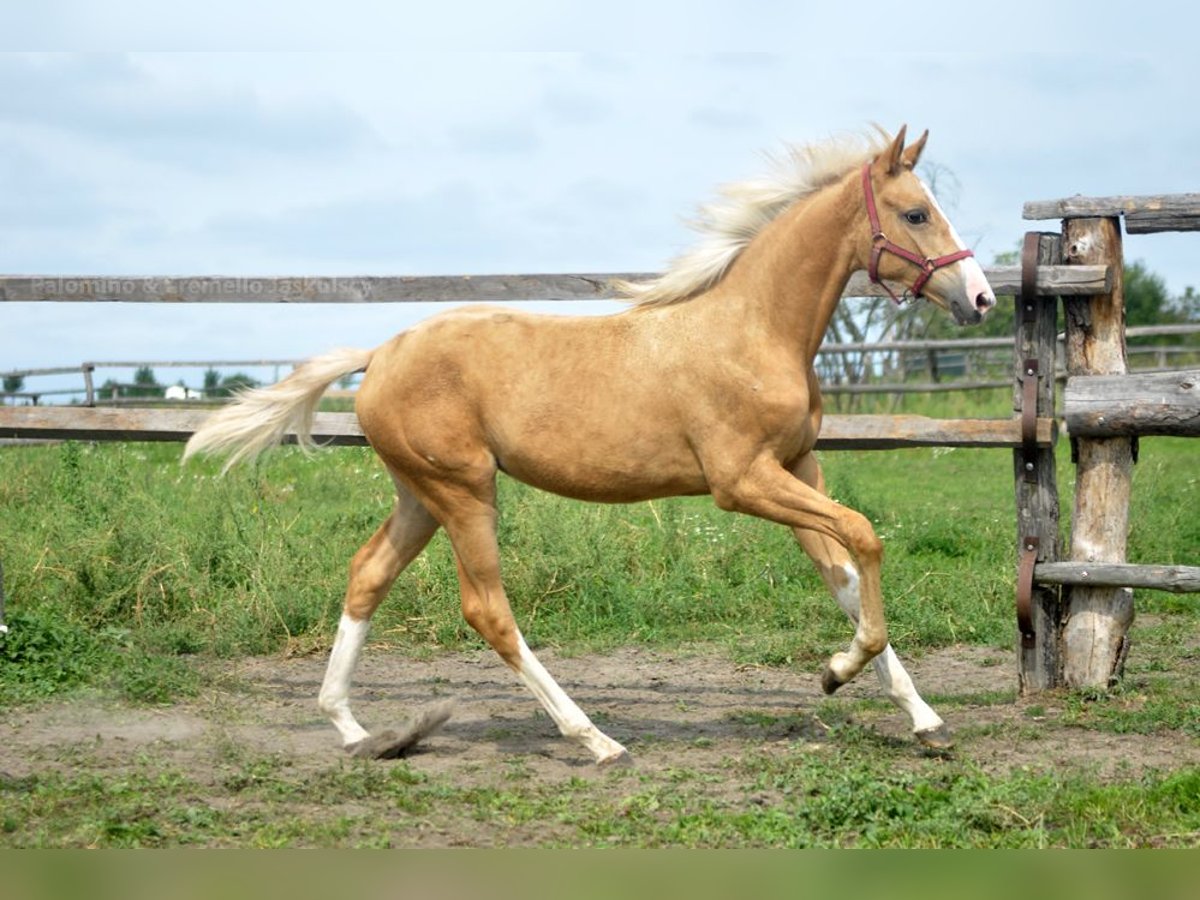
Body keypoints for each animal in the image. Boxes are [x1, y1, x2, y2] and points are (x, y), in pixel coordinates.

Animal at [184, 125, 993, 763]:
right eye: (916, 212)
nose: (980, 298)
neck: (753, 330)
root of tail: (380, 353)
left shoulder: (800, 467)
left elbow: (846, 577)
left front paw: (922, 719)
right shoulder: (743, 482)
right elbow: (867, 537)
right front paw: (836, 671)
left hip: (420, 493)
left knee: (367, 576)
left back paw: (353, 730)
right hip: (465, 491)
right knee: (487, 609)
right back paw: (597, 740)